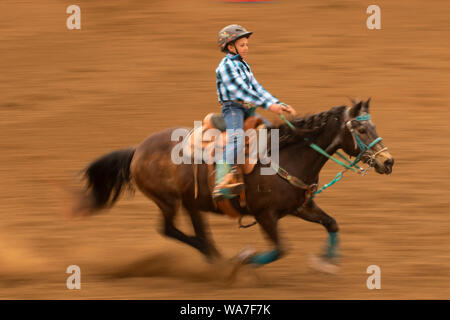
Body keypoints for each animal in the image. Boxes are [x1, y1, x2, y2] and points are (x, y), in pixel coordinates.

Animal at [71, 99, 394, 270]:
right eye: (361, 129)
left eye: (373, 125)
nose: (388, 162)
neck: (288, 155)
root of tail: (138, 150)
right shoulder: (265, 216)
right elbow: (280, 249)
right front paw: (244, 260)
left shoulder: (301, 206)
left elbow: (332, 224)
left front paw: (327, 262)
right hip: (168, 201)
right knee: (169, 230)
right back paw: (219, 262)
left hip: (190, 203)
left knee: (191, 231)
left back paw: (214, 258)